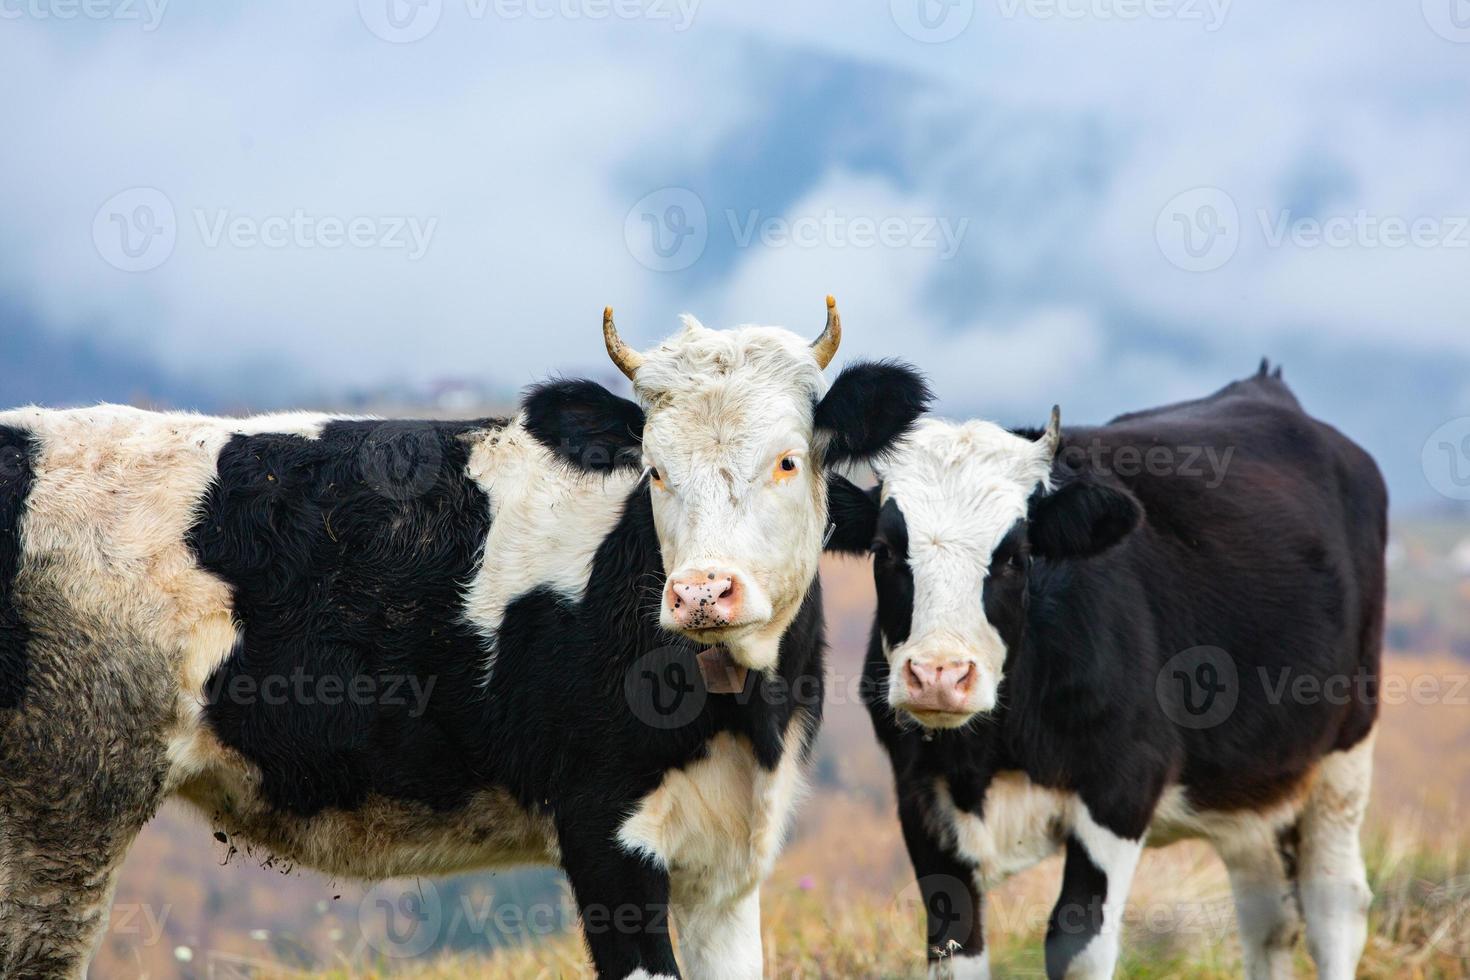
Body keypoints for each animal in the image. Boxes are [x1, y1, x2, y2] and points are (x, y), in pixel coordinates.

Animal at [0, 301, 929, 980]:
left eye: (787, 460)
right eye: (655, 469)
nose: (703, 591)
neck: (743, 710)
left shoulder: (729, 860)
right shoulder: (603, 830)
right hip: (63, 802)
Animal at [829, 365, 1387, 980]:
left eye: (1016, 556)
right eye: (884, 549)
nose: (939, 675)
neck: (991, 753)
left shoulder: (1121, 785)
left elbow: (1076, 946)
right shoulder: (919, 797)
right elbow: (955, 949)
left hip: (1345, 750)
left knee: (1334, 907)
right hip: (1247, 787)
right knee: (1268, 915)